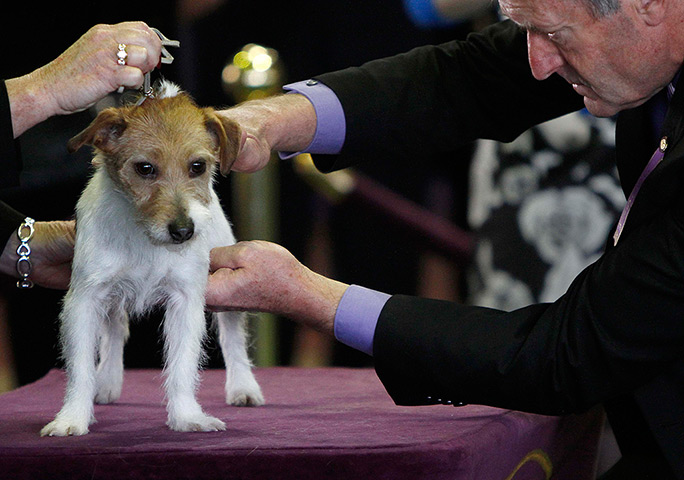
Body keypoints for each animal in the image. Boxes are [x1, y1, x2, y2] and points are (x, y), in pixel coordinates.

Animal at [40, 80, 264, 436]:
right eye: (145, 168)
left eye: (198, 166)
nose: (184, 231)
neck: (145, 236)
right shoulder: (85, 300)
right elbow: (79, 369)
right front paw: (72, 418)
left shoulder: (186, 300)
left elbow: (183, 366)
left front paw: (187, 417)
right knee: (115, 330)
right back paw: (107, 381)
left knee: (232, 337)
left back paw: (244, 386)